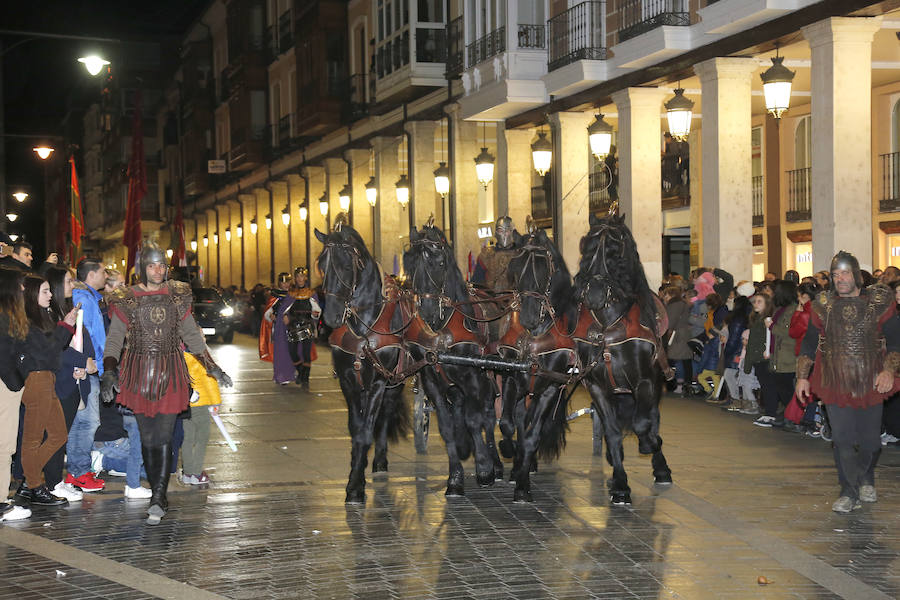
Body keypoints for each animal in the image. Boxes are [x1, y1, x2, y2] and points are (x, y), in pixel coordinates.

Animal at [314, 220, 410, 502]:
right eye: (320, 265)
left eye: (347, 266)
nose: (331, 317)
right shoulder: (348, 381)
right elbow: (356, 429)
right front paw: (355, 474)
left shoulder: (379, 381)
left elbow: (367, 430)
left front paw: (356, 485)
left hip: (394, 382)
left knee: (385, 416)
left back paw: (379, 460)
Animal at [404, 223, 502, 494]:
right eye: (409, 265)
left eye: (439, 263)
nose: (427, 312)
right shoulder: (431, 380)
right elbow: (447, 427)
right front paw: (455, 477)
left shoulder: (473, 377)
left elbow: (475, 419)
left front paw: (484, 468)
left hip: (491, 376)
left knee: (489, 415)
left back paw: (495, 462)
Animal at [502, 227, 580, 500]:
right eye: (514, 267)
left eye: (544, 268)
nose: (527, 316)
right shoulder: (512, 379)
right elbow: (507, 425)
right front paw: (510, 453)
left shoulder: (549, 389)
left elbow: (532, 436)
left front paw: (523, 485)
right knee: (518, 419)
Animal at [572, 213, 672, 504]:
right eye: (586, 247)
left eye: (616, 250)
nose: (594, 294)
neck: (609, 327)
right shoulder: (597, 387)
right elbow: (613, 431)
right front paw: (619, 484)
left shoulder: (645, 382)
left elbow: (642, 423)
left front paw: (650, 444)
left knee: (652, 417)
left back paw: (660, 464)